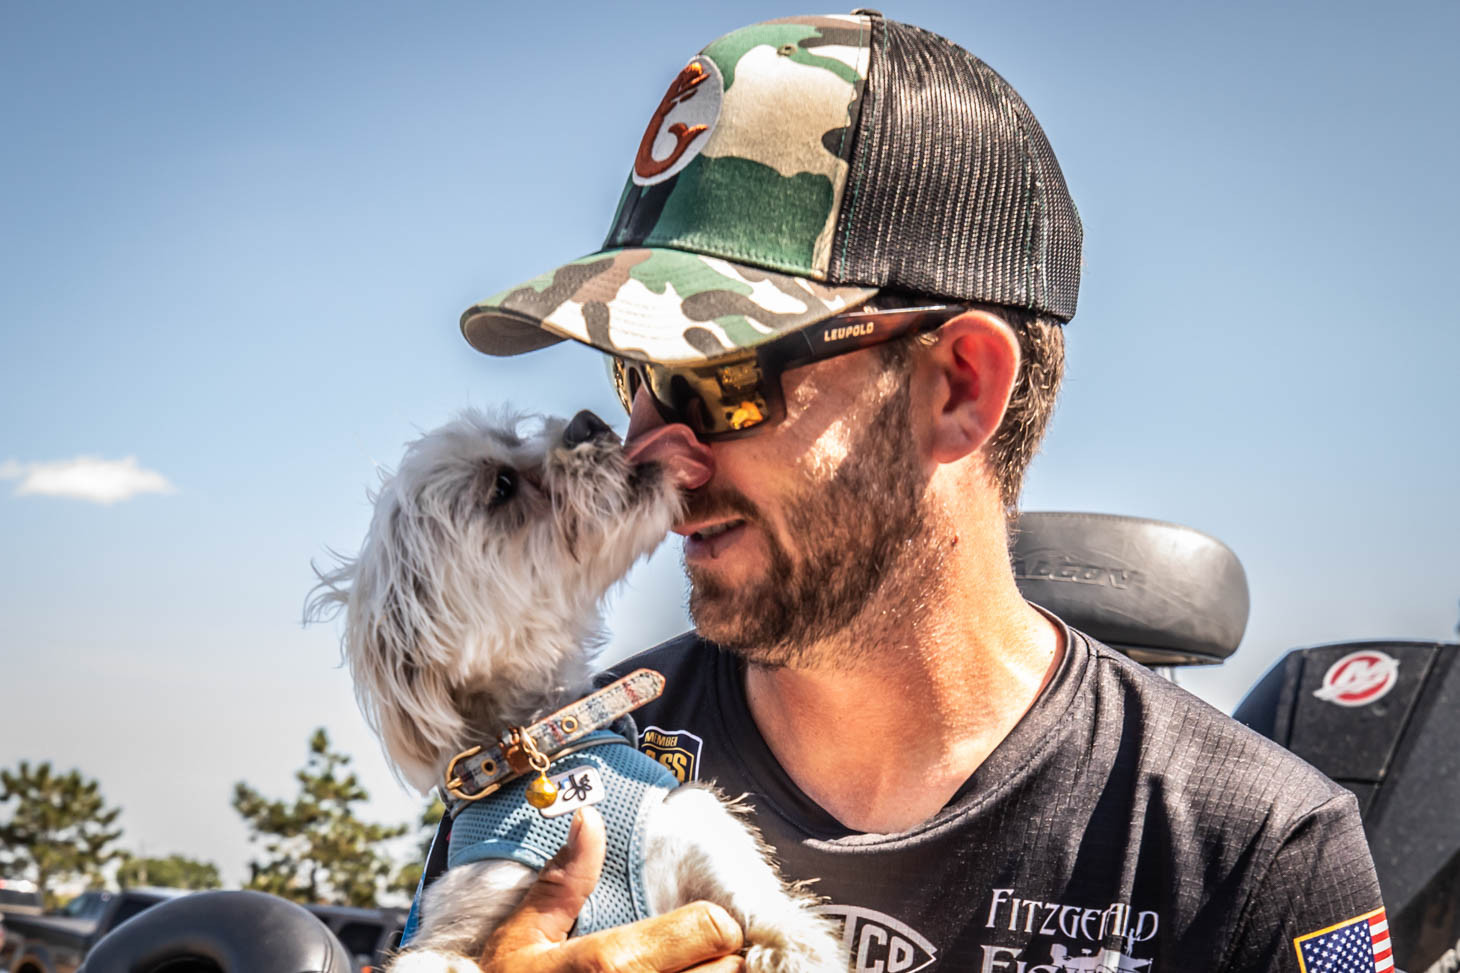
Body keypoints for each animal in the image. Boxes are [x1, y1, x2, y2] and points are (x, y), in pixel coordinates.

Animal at [310, 408, 842, 973]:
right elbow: (439, 960)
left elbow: (790, 931)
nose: (586, 422)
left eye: (515, 437)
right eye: (502, 486)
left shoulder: (702, 843)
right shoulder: (469, 912)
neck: (545, 744)